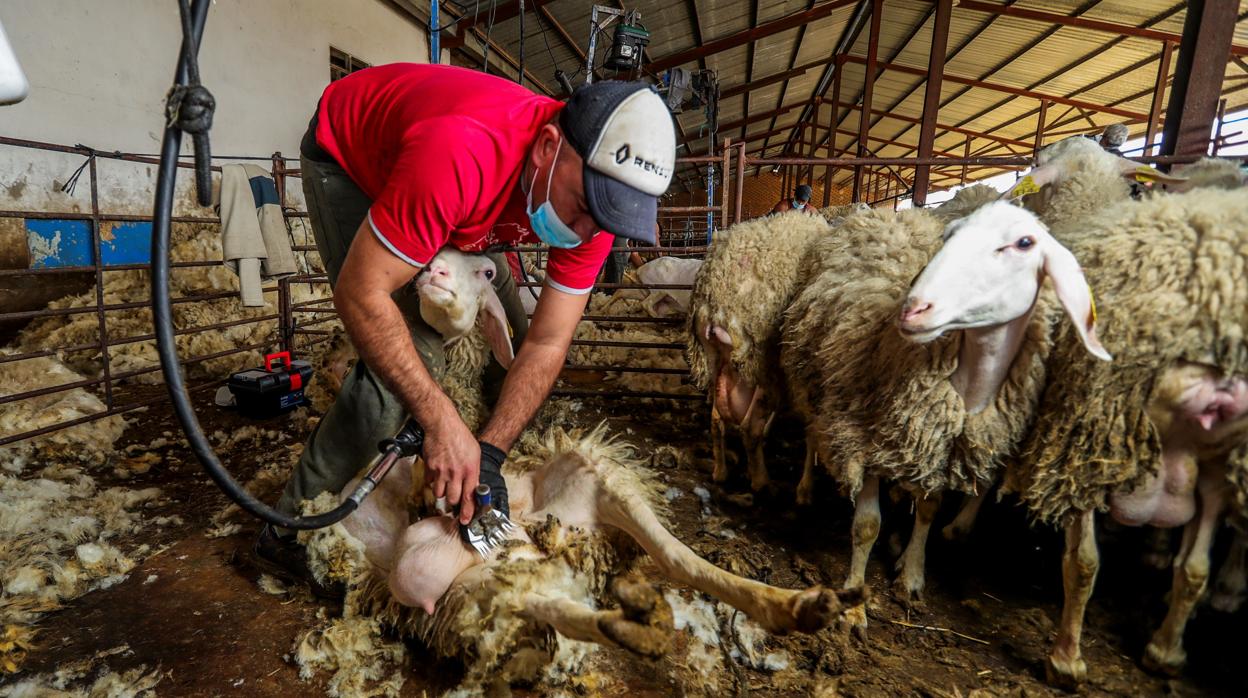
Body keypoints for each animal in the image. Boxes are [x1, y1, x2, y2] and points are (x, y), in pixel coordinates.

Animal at [688, 209, 833, 494]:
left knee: (716, 420)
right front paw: (805, 488)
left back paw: (720, 472)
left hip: (715, 358)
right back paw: (761, 480)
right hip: (759, 361)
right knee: (750, 429)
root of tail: (717, 298)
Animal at [783, 202, 1108, 629]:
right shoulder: (864, 439)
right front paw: (853, 600)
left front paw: (912, 573)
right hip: (809, 372)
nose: (913, 309)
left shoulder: (939, 450)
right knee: (810, 431)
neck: (966, 389)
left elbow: (929, 510)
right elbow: (867, 526)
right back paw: (805, 488)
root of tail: (884, 212)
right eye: (951, 233)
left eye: (1024, 243)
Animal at [1008, 187, 1248, 689]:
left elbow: (1195, 571)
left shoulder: (1216, 467)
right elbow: (1083, 564)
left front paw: (1166, 652)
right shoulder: (1084, 445)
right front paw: (1066, 660)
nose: (1228, 393)